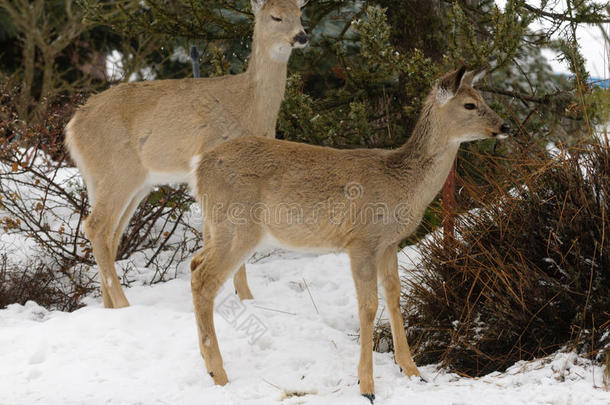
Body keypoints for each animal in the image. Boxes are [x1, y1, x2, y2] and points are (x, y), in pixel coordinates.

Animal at [65, 0, 308, 308]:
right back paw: (123, 303)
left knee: (111, 234)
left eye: (299, 14)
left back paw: (110, 307)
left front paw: (245, 297)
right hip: (119, 170)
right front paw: (245, 296)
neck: (249, 106)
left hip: (118, 181)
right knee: (96, 226)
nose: (302, 36)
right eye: (276, 17)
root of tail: (73, 126)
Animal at [189, 68, 508, 400]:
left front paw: (412, 371)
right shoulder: (361, 240)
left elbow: (394, 297)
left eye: (482, 97)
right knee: (203, 280)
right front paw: (366, 386)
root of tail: (198, 169)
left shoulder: (389, 243)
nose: (504, 126)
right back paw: (218, 374)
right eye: (470, 104)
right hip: (238, 226)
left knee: (194, 263)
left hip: (216, 226)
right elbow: (368, 307)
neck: (403, 184)